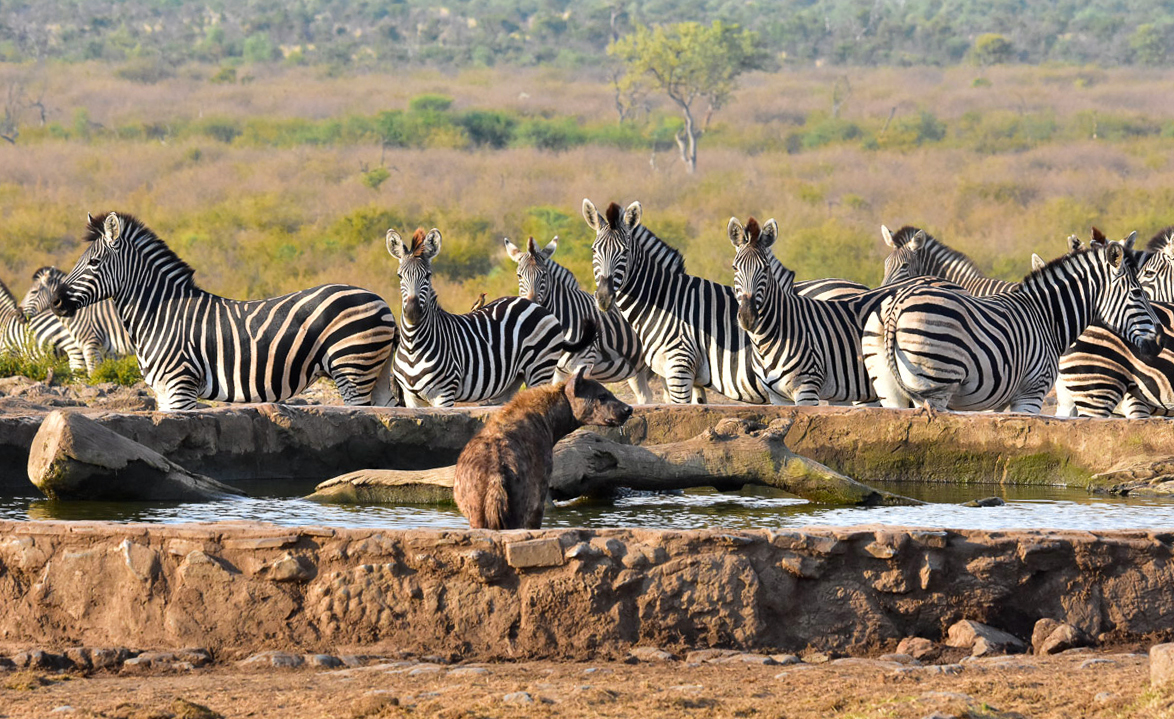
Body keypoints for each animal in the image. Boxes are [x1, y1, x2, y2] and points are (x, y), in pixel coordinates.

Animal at [51, 212, 399, 411]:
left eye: (94, 262)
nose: (55, 301)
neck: (159, 314)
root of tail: (382, 303)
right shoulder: (162, 391)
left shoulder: (180, 386)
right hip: (376, 371)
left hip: (352, 367)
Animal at [388, 227, 595, 408]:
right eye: (399, 276)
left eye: (428, 276)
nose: (412, 312)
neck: (413, 345)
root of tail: (537, 305)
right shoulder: (411, 398)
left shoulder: (444, 395)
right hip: (510, 382)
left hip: (540, 370)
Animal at [505, 235, 656, 404]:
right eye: (519, 275)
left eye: (544, 275)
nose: (532, 303)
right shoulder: (558, 370)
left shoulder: (585, 363)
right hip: (638, 368)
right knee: (646, 397)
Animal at [586, 199, 772, 404]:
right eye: (594, 250)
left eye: (625, 252)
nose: (604, 297)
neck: (666, 301)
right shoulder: (687, 377)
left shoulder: (679, 367)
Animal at [863, 240, 1161, 413]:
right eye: (1137, 293)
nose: (1159, 342)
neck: (1046, 317)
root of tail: (897, 304)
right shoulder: (1031, 393)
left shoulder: (998, 399)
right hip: (936, 385)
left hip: (890, 388)